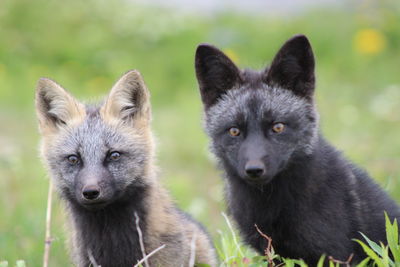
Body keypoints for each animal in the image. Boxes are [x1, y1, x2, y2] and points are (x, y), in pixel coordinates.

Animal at [195, 34, 400, 266]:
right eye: (234, 131)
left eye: (278, 127)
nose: (254, 170)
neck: (271, 205)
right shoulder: (273, 254)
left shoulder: (336, 255)